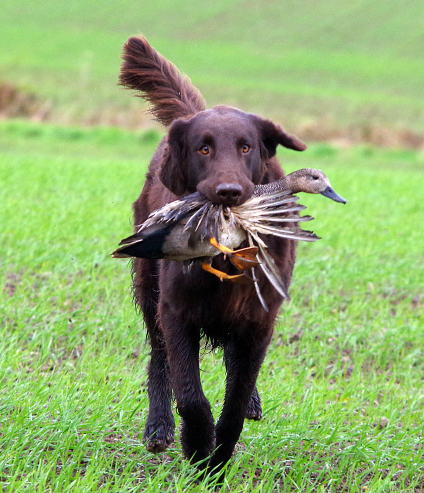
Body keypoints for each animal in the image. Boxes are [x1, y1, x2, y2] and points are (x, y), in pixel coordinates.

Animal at [119, 36, 308, 474]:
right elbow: (190, 394)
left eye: (246, 148)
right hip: (147, 284)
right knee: (159, 356)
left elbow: (235, 400)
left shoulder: (260, 318)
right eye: (203, 149)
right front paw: (198, 449)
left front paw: (219, 458)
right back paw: (158, 426)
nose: (229, 193)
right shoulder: (176, 312)